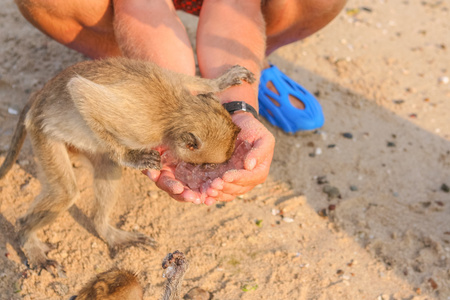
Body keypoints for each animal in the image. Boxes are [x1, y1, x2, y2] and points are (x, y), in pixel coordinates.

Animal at [0, 56, 255, 274]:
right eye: (208, 163)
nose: (206, 170)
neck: (176, 111)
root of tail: (40, 97)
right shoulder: (143, 124)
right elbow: (79, 90)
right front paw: (130, 157)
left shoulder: (170, 83)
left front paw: (220, 81)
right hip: (42, 133)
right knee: (66, 192)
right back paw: (28, 237)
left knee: (107, 170)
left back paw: (105, 230)